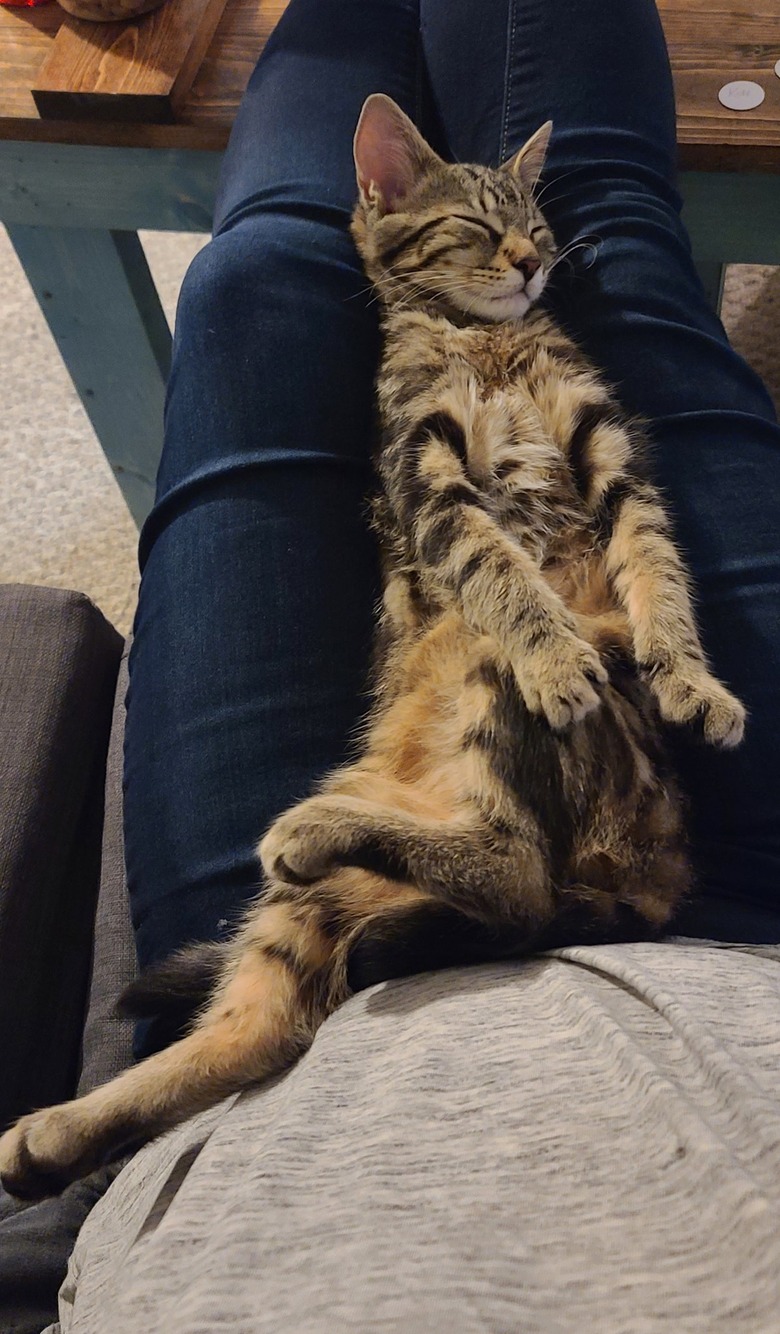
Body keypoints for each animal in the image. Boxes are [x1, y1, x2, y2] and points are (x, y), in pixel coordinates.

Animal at [0, 94, 741, 1200]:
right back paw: (56, 1130)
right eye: (478, 225)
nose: (534, 261)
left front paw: (689, 674)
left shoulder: (612, 453)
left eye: (539, 221)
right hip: (439, 717)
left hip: (473, 707)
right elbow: (503, 571)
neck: (488, 342)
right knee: (294, 1009)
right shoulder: (427, 476)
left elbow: (659, 564)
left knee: (504, 881)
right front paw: (558, 650)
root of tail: (657, 875)